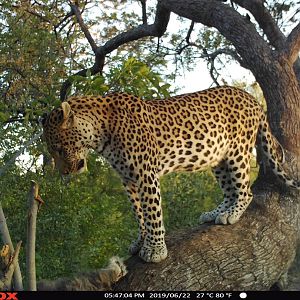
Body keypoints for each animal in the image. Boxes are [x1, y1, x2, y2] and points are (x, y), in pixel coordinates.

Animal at [41, 86, 300, 262]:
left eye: (60, 149)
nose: (64, 171)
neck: (99, 132)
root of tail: (251, 98)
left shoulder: (145, 174)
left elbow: (152, 212)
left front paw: (155, 249)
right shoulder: (128, 180)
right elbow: (138, 213)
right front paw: (141, 241)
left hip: (237, 150)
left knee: (245, 191)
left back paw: (232, 214)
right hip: (218, 156)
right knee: (229, 191)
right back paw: (216, 212)